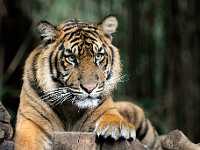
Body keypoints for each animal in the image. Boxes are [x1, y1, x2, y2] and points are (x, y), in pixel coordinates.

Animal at [14, 15, 157, 149]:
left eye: (98, 56)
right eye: (71, 58)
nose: (90, 88)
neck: (70, 108)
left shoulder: (107, 107)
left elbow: (111, 114)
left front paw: (116, 126)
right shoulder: (30, 121)